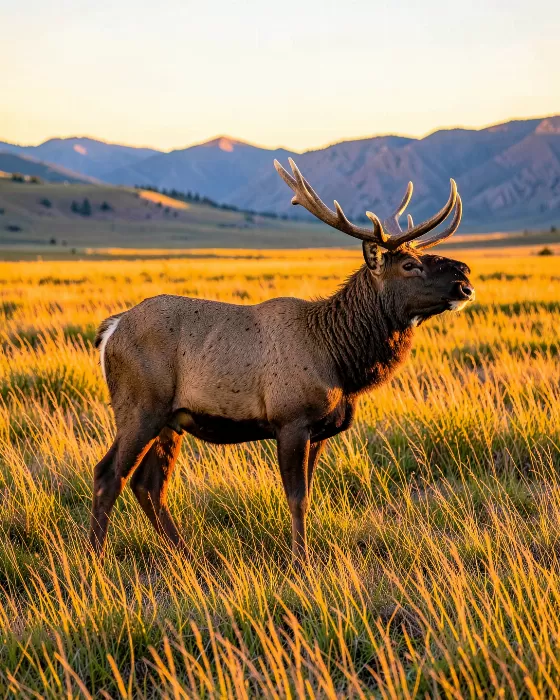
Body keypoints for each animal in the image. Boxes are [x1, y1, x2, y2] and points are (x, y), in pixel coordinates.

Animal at [89, 158, 474, 568]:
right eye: (409, 265)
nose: (464, 278)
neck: (340, 362)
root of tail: (110, 331)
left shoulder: (319, 431)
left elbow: (309, 495)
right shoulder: (290, 419)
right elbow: (297, 499)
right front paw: (300, 563)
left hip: (171, 419)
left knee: (147, 484)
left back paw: (187, 556)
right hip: (139, 406)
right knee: (108, 475)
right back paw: (96, 561)